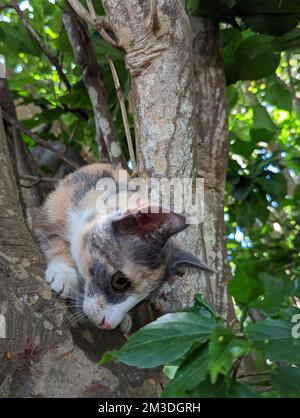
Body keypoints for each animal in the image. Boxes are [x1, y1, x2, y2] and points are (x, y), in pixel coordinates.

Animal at [32, 164, 212, 334]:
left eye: (143, 301)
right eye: (119, 282)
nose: (108, 324)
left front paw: (124, 319)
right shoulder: (52, 209)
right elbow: (51, 236)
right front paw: (64, 273)